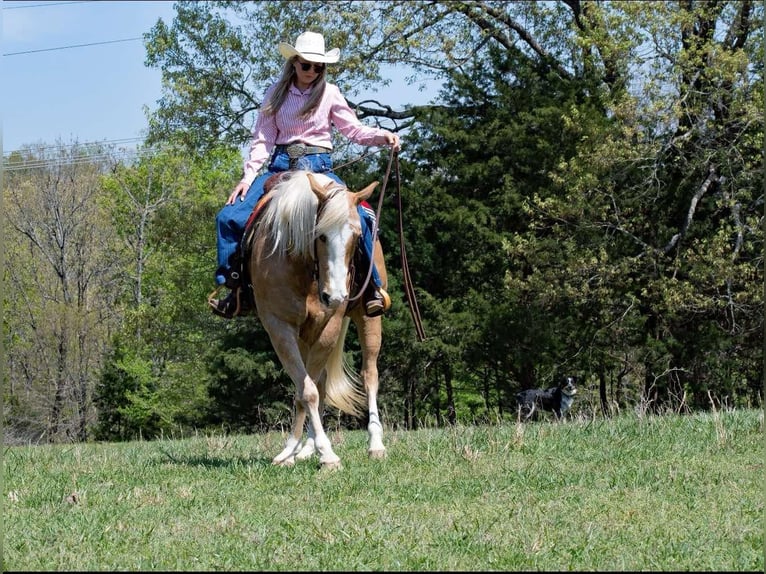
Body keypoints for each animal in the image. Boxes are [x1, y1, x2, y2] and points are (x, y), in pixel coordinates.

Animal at [246, 170, 388, 469]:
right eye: (320, 236)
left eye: (357, 236)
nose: (335, 296)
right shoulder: (279, 327)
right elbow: (307, 390)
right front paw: (293, 451)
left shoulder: (329, 326)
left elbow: (308, 390)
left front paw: (325, 454)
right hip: (305, 336)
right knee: (319, 382)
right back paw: (307, 448)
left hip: (368, 318)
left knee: (369, 375)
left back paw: (375, 444)